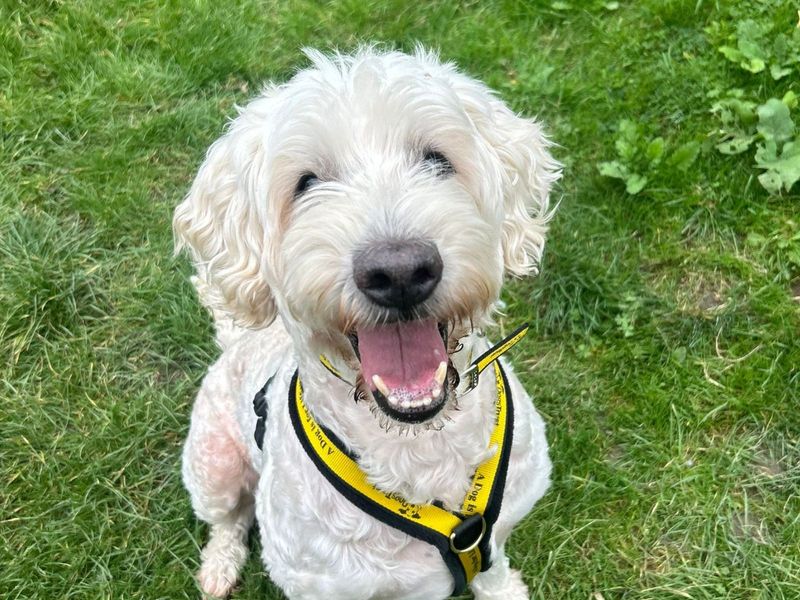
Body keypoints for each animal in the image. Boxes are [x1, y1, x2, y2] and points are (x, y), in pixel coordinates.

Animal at [173, 47, 564, 600]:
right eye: (306, 183)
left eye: (437, 160)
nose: (399, 272)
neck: (419, 447)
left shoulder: (499, 527)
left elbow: (494, 569)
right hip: (213, 465)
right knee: (228, 518)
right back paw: (219, 566)